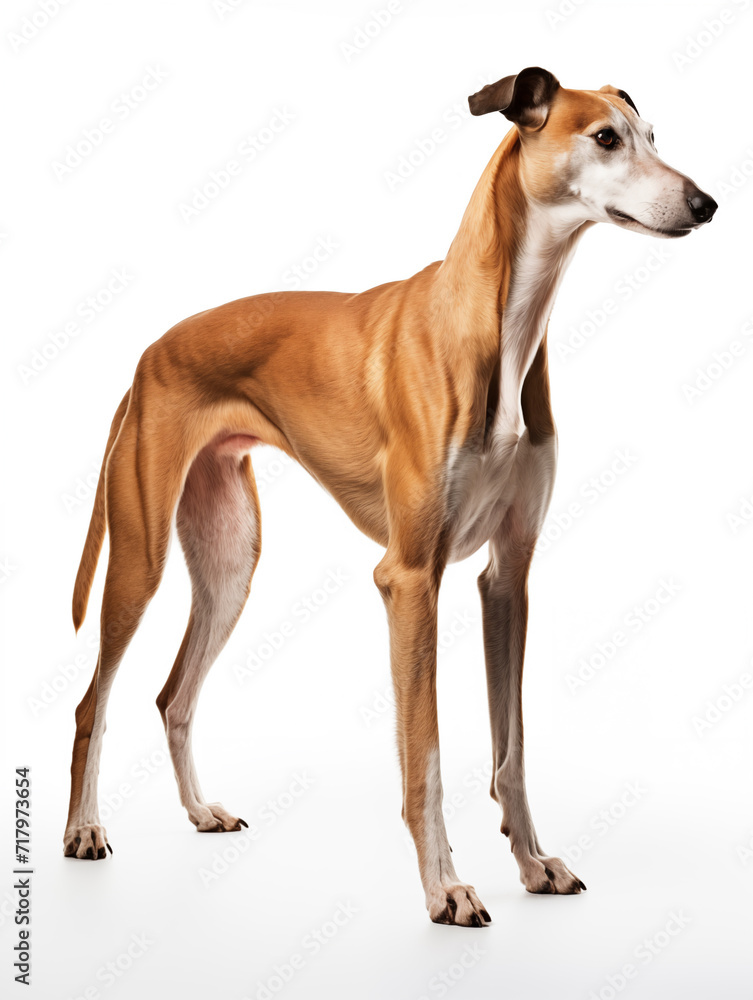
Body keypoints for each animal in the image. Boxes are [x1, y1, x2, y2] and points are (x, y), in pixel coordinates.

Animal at [64, 68, 716, 928]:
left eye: (652, 137)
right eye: (604, 139)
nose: (706, 203)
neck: (497, 325)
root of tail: (146, 353)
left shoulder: (506, 577)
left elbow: (511, 748)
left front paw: (532, 864)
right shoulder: (409, 578)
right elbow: (424, 755)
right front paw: (445, 889)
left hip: (230, 566)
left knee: (174, 695)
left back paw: (200, 812)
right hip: (139, 560)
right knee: (91, 703)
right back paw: (83, 831)